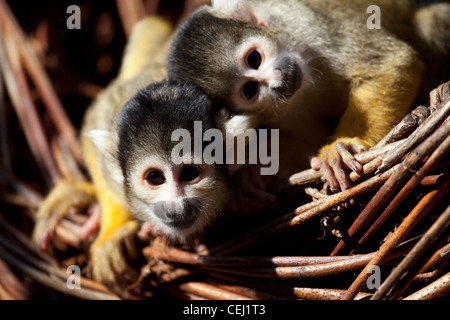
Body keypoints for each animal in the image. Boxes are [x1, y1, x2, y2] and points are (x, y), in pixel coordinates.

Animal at [168, 0, 450, 191]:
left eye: (254, 58)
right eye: (250, 90)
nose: (278, 82)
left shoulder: (303, 24)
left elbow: (390, 63)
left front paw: (342, 146)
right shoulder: (275, 112)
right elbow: (308, 142)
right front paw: (256, 171)